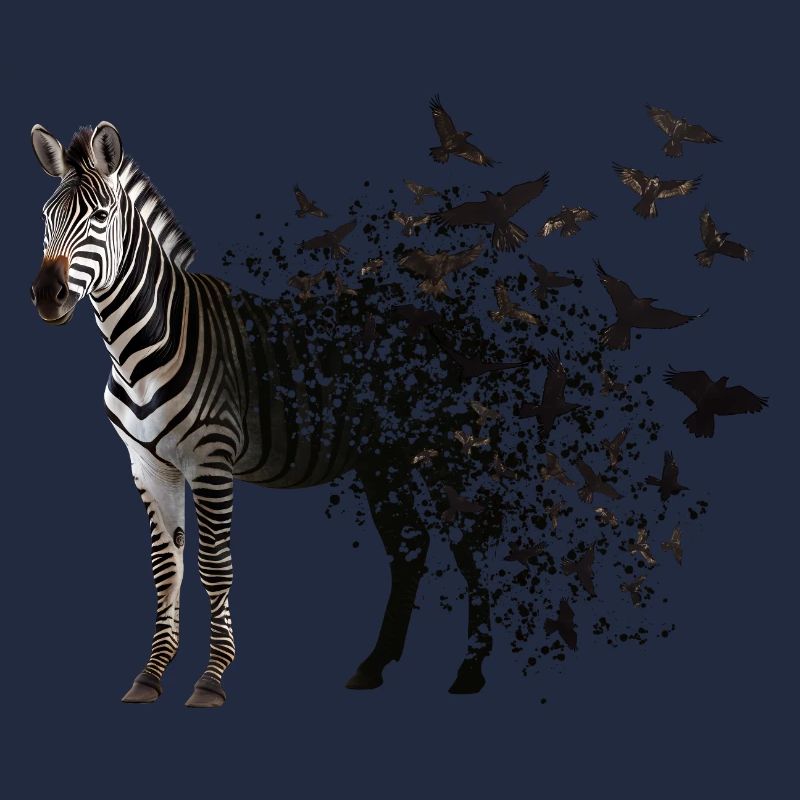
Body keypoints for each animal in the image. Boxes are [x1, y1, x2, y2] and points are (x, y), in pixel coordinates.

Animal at [29, 121, 504, 706]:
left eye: (98, 218)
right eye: (45, 218)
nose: (46, 297)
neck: (140, 346)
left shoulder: (210, 460)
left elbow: (214, 567)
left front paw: (211, 679)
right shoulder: (148, 466)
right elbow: (167, 569)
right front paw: (151, 674)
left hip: (444, 451)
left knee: (469, 542)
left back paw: (470, 672)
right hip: (386, 459)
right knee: (409, 548)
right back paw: (374, 665)